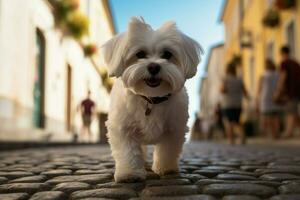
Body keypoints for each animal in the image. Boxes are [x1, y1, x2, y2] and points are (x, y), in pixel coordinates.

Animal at [102, 17, 203, 183]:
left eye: (167, 54)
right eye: (140, 54)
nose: (154, 66)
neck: (151, 98)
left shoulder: (174, 129)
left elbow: (167, 150)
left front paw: (166, 169)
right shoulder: (123, 129)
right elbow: (128, 151)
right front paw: (129, 173)